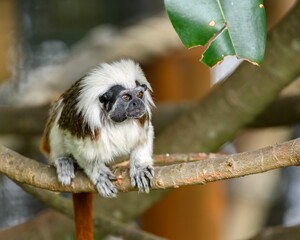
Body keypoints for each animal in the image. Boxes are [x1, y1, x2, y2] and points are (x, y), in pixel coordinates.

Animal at [40, 58, 155, 240]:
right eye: (126, 97)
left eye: (139, 95)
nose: (138, 103)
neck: (117, 122)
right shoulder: (80, 122)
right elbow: (76, 144)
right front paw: (98, 174)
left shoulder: (142, 119)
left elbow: (144, 136)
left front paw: (140, 168)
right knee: (59, 112)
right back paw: (64, 161)